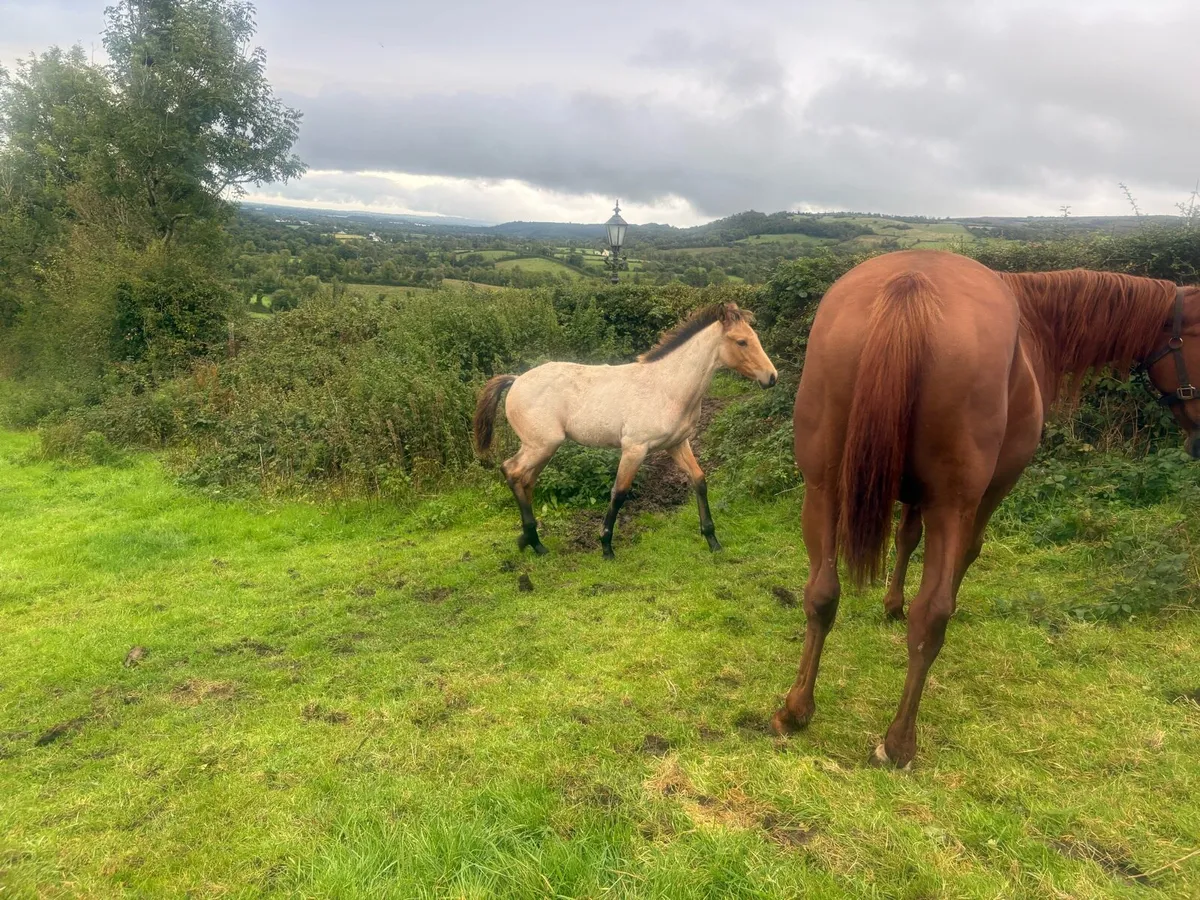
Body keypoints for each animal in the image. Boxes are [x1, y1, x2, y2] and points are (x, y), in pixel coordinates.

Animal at [473, 302, 778, 558]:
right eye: (741, 341)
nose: (771, 377)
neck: (668, 387)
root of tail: (515, 380)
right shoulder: (634, 448)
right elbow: (619, 492)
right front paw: (606, 547)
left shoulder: (677, 444)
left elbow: (699, 481)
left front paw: (712, 540)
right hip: (542, 444)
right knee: (513, 471)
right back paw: (535, 543)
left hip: (542, 448)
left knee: (525, 479)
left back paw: (529, 540)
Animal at [772, 249, 1199, 768]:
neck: (1037, 324)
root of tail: (910, 287)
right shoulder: (984, 497)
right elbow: (963, 557)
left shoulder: (914, 497)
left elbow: (906, 537)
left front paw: (891, 604)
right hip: (951, 502)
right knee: (932, 614)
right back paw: (898, 743)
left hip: (823, 490)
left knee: (821, 594)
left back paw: (796, 709)